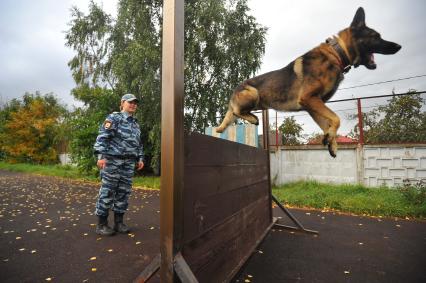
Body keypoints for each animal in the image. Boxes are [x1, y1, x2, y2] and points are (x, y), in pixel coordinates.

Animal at [218, 7, 402, 158]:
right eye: (376, 37)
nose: (399, 47)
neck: (337, 53)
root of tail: (233, 93)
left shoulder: (313, 105)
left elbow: (328, 123)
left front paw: (331, 141)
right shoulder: (309, 99)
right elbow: (336, 119)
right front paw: (330, 138)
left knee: (238, 113)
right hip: (253, 92)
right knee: (237, 112)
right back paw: (252, 118)